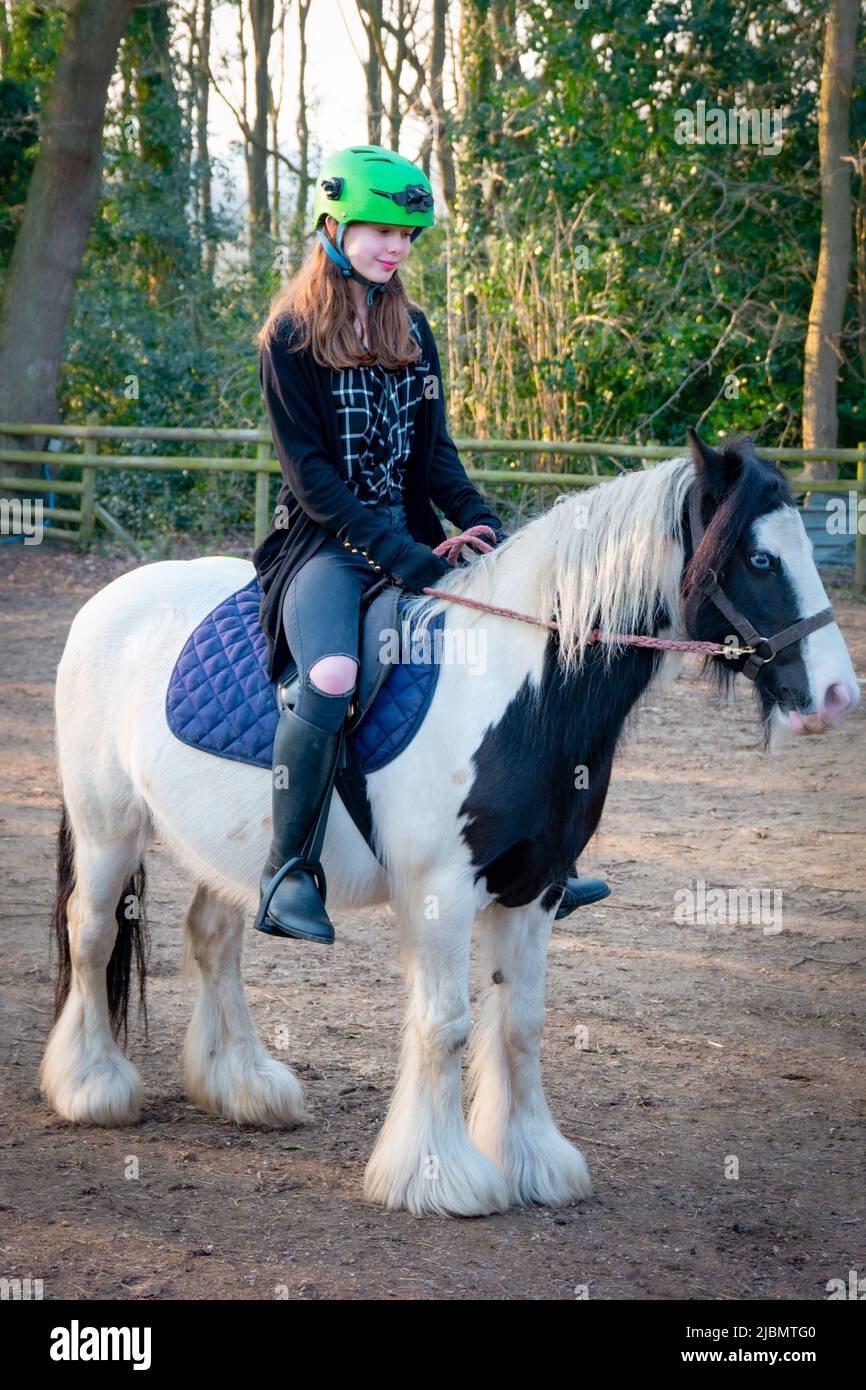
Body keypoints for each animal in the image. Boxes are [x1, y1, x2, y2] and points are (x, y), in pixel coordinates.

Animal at [40, 433, 861, 1217]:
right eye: (759, 559)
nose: (836, 694)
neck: (517, 689)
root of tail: (106, 600)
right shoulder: (440, 890)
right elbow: (446, 1024)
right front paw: (437, 1176)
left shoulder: (535, 888)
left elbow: (521, 1022)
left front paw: (533, 1164)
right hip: (109, 829)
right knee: (93, 932)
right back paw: (91, 1085)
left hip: (238, 853)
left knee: (212, 939)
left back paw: (242, 1084)